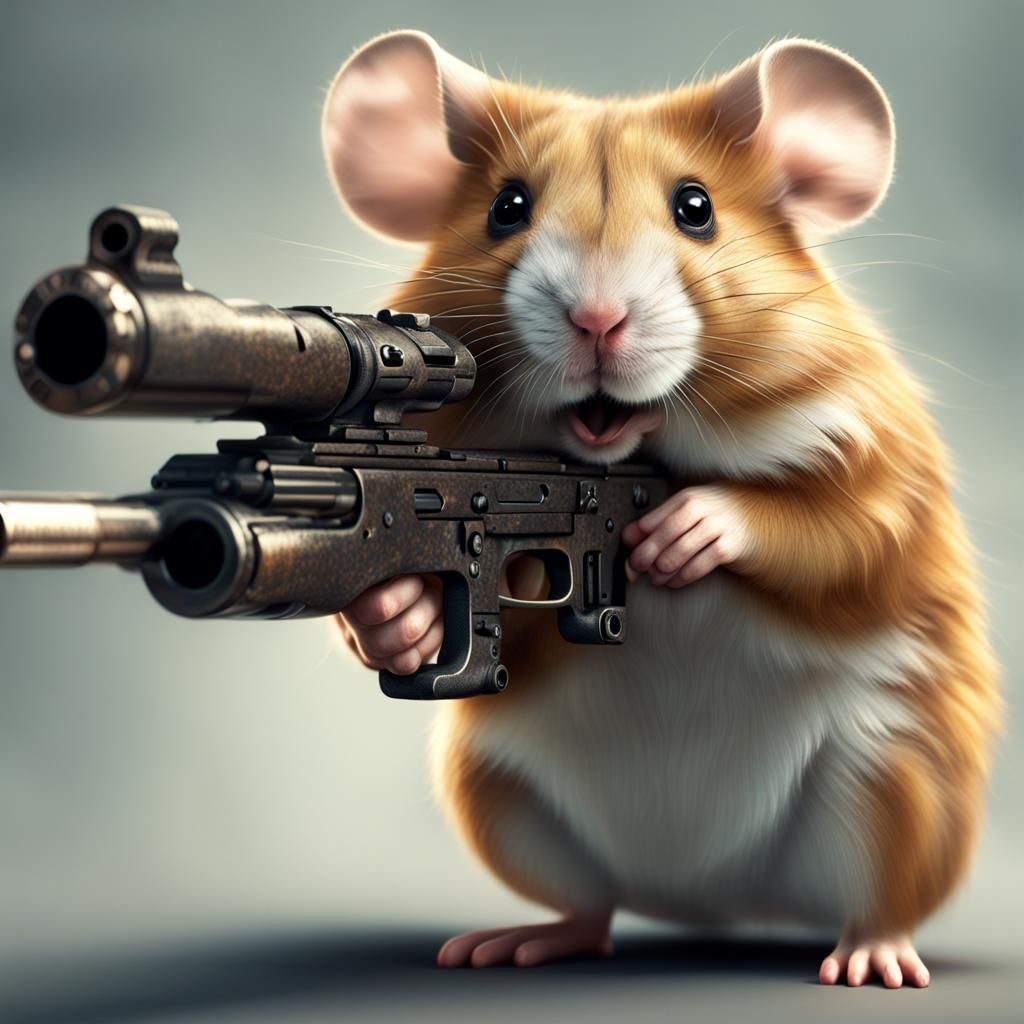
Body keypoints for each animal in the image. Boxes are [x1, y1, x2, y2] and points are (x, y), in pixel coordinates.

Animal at [324, 30, 999, 987]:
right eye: (507, 207)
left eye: (696, 207)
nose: (597, 319)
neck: (634, 452)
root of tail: (714, 901)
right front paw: (399, 620)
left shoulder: (885, 460)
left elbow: (845, 534)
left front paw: (691, 529)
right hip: (496, 793)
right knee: (593, 910)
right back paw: (521, 940)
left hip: (897, 782)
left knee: (882, 894)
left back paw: (872, 958)